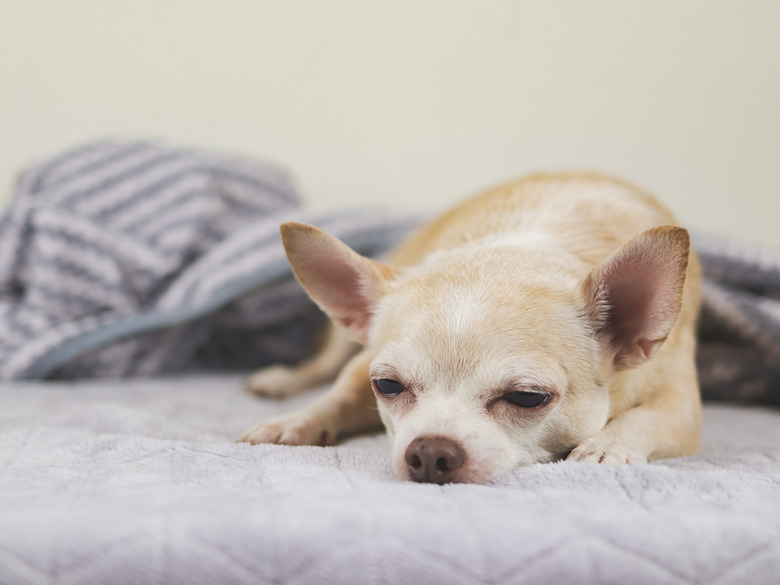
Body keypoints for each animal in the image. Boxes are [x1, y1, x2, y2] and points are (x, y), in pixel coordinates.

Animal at [241, 172, 704, 484]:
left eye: (527, 397)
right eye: (388, 386)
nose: (430, 452)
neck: (521, 247)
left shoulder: (681, 403)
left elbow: (646, 418)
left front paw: (606, 447)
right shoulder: (362, 366)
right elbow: (337, 395)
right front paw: (296, 421)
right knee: (322, 366)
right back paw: (283, 381)